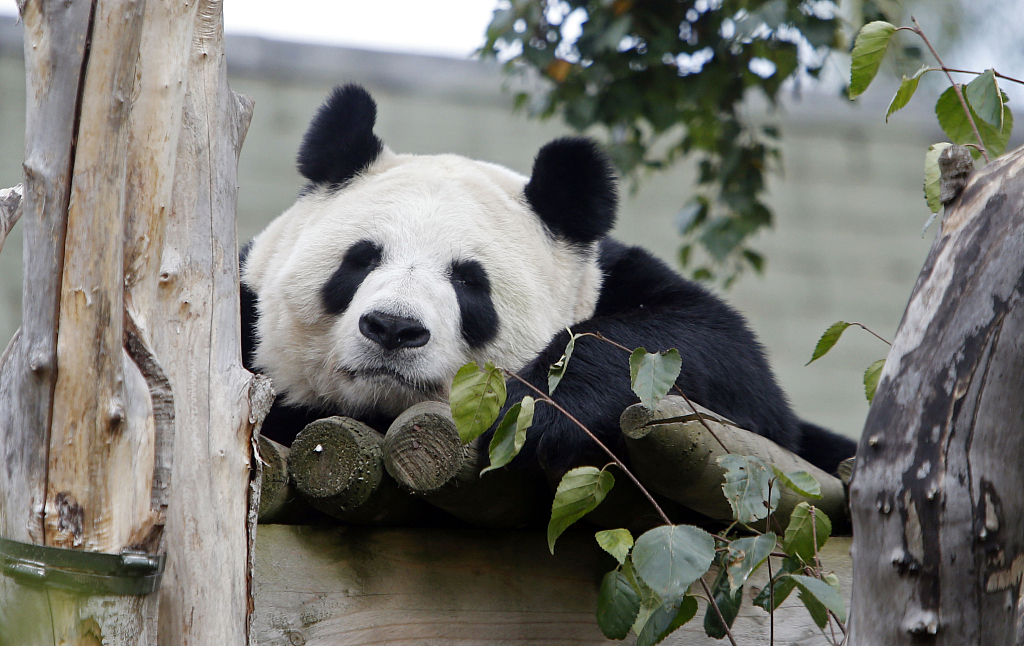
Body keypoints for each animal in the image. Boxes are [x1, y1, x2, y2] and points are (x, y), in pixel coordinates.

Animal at [239, 84, 856, 475]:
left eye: (469, 283)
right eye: (361, 260)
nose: (393, 328)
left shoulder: (616, 280)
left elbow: (721, 357)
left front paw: (532, 412)